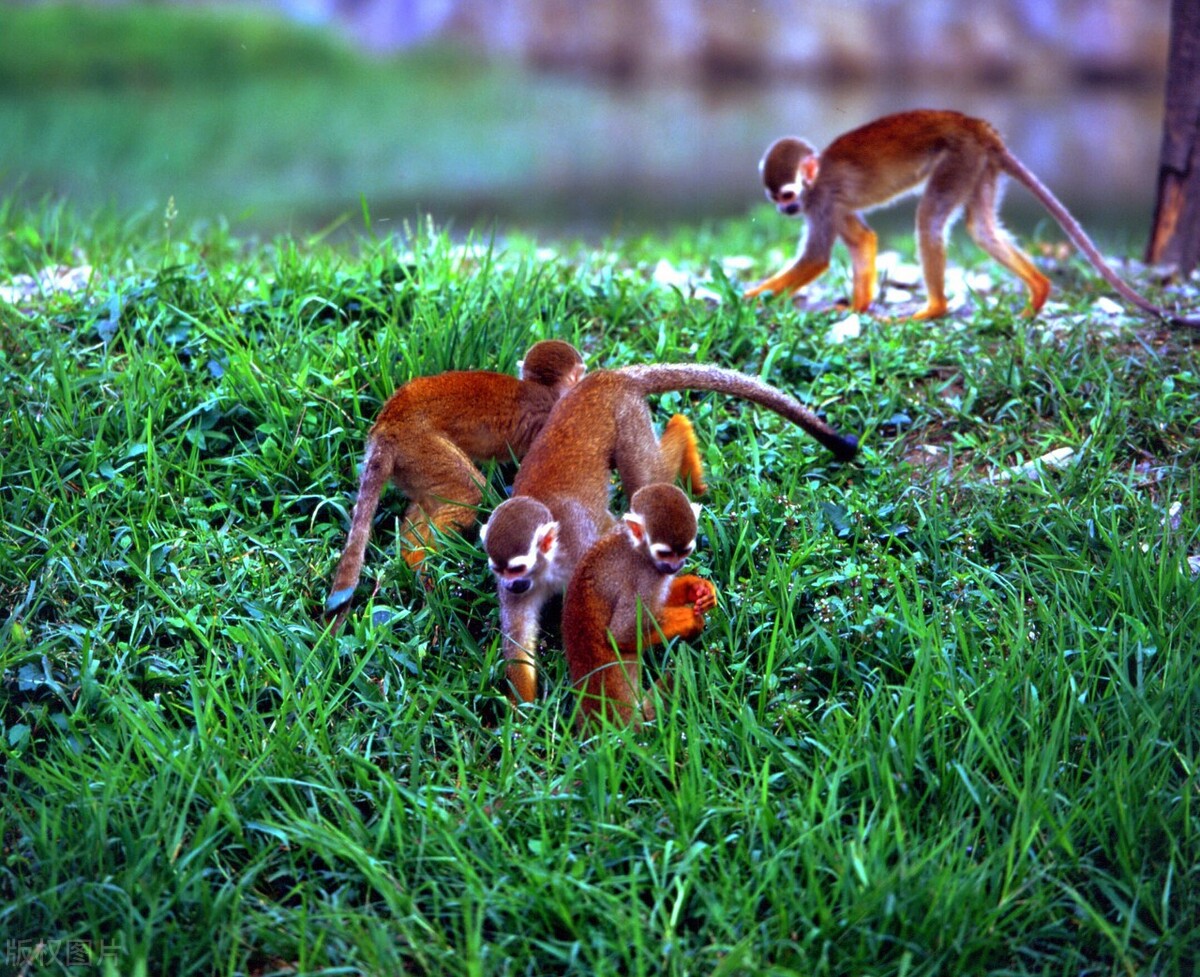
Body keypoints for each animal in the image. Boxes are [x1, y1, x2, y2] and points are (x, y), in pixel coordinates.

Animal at [324, 340, 585, 624]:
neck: (543, 390)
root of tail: (387, 424)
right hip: (419, 444)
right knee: (469, 492)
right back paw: (424, 566)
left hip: (409, 460)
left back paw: (411, 564)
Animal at [559, 484, 710, 729]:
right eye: (665, 553)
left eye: (685, 551)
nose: (675, 566)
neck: (636, 548)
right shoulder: (643, 577)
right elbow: (621, 634)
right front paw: (688, 620)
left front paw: (696, 588)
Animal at [744, 109, 1195, 326]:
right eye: (773, 198)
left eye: (787, 195)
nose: (785, 210)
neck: (814, 179)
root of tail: (979, 127)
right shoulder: (830, 205)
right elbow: (861, 241)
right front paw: (858, 307)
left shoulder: (820, 201)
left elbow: (817, 259)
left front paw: (749, 298)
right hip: (980, 165)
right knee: (982, 229)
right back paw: (1039, 292)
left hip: (958, 159)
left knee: (929, 219)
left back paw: (934, 309)